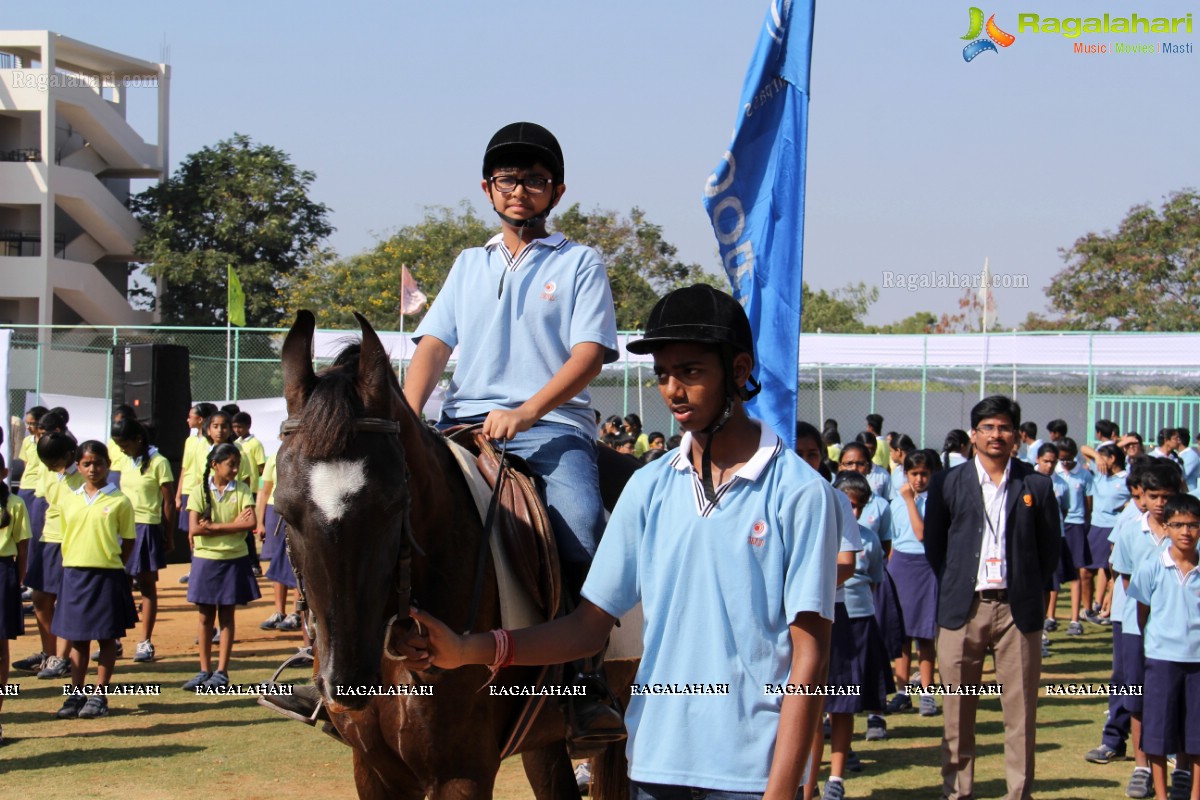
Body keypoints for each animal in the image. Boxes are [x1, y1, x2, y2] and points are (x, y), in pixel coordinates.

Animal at [272, 311, 628, 800]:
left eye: (395, 504)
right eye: (284, 510)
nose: (345, 682)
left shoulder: (463, 772)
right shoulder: (372, 769)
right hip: (543, 738)